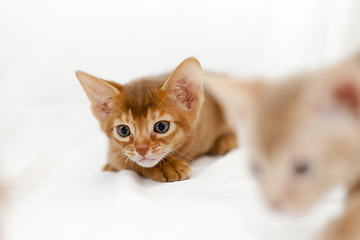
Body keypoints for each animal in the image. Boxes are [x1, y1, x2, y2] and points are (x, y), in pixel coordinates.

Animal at [75, 57, 238, 182]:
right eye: (123, 130)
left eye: (161, 127)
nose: (141, 149)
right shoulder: (114, 150)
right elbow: (126, 160)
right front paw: (167, 166)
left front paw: (167, 165)